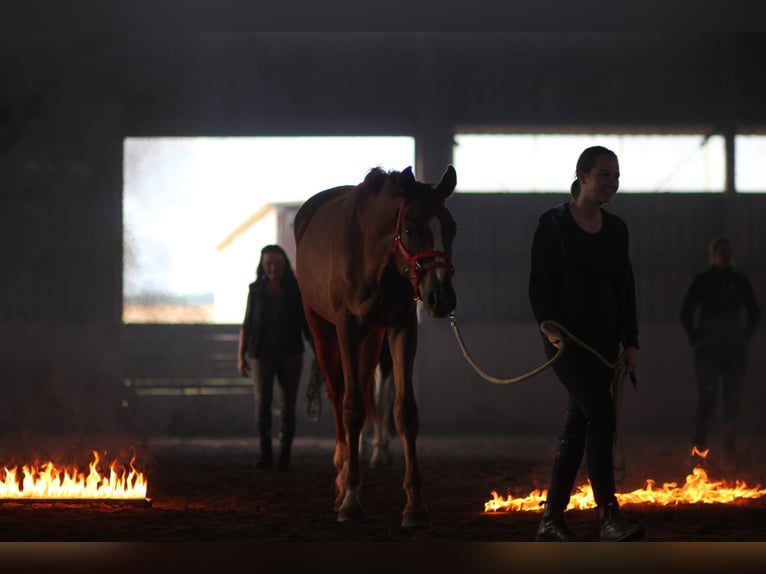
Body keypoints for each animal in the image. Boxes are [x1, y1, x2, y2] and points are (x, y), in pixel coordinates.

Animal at [296, 164, 460, 528]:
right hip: (323, 330)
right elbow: (352, 407)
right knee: (338, 395)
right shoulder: (347, 325)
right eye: (410, 227)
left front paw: (414, 505)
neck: (372, 255)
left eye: (452, 229)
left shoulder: (401, 326)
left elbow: (404, 411)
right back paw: (342, 478)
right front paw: (351, 500)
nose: (441, 298)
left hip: (372, 340)